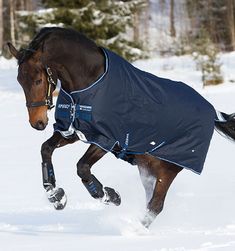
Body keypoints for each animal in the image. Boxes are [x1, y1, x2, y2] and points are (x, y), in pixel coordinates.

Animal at [7, 27, 235, 227]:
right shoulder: (72, 131)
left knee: (156, 205)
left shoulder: (106, 139)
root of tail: (212, 112)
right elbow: (46, 149)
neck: (89, 81)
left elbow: (82, 168)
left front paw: (109, 195)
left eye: (38, 80)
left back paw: (133, 230)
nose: (37, 123)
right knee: (150, 202)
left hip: (168, 169)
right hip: (148, 168)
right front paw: (56, 197)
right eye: (19, 80)